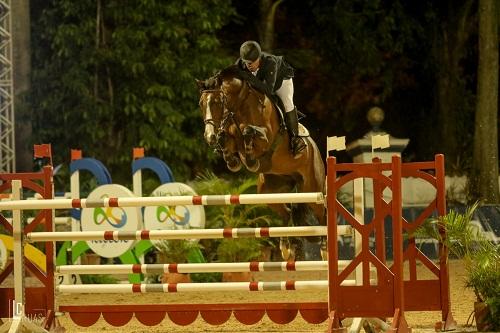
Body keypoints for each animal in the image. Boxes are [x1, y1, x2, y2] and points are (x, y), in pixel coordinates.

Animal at [197, 65, 326, 260]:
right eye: (201, 104)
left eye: (218, 102)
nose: (209, 136)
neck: (241, 107)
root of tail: (314, 148)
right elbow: (229, 143)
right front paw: (228, 154)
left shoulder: (266, 138)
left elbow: (249, 131)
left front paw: (251, 159)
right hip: (270, 191)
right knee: (287, 212)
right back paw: (287, 246)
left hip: (312, 189)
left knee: (323, 214)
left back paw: (325, 249)